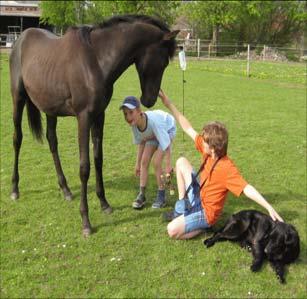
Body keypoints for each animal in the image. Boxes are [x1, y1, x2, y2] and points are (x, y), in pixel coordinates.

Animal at [10, 15, 178, 237]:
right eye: (163, 61)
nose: (149, 100)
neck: (96, 60)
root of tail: (21, 39)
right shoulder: (84, 118)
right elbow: (85, 167)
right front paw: (86, 221)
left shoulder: (99, 116)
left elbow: (98, 160)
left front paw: (104, 203)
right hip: (18, 99)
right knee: (17, 139)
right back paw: (14, 189)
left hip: (50, 109)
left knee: (52, 142)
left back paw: (65, 189)